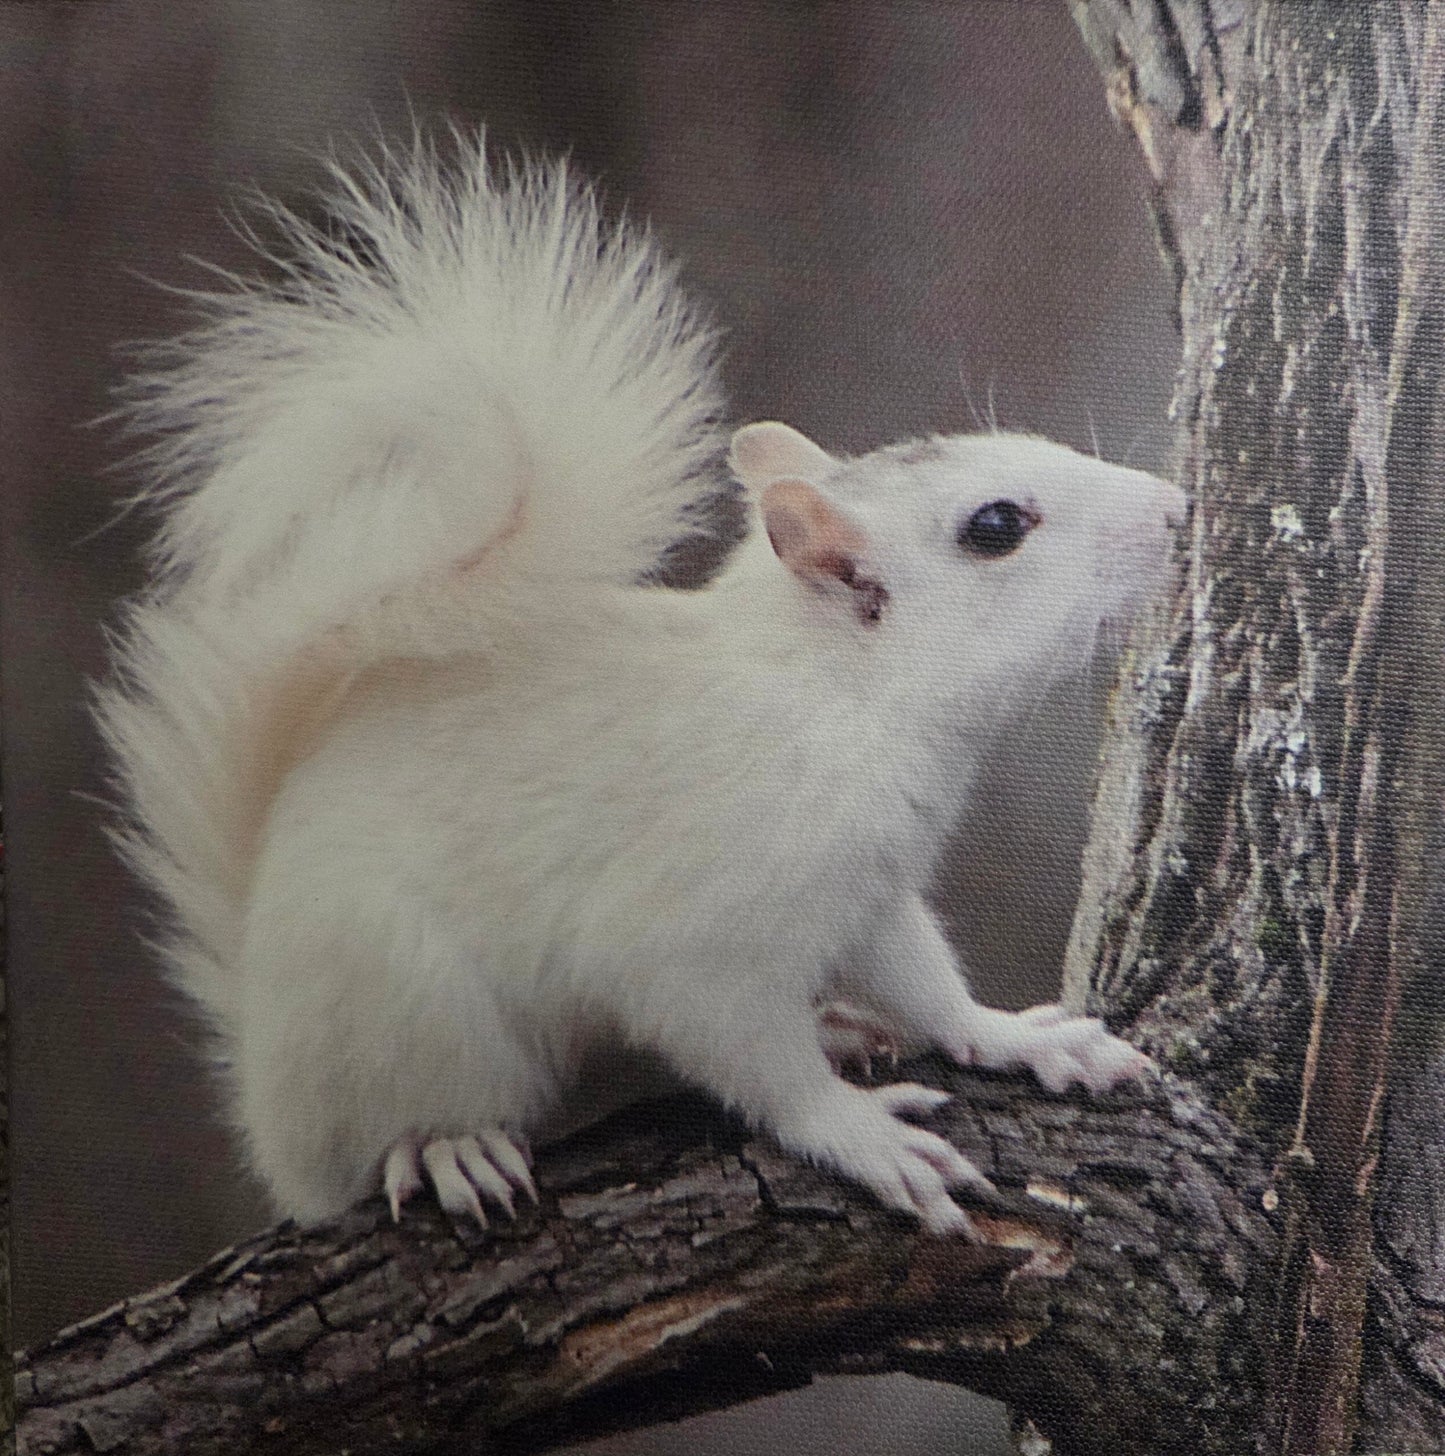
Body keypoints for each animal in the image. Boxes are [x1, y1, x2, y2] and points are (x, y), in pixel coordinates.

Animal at [98, 136, 1185, 1237]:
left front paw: (1021, 1037)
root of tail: (267, 1090)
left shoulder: (871, 893)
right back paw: (450, 1148)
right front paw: (860, 1134)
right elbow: (754, 1052)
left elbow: (926, 988)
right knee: (383, 1142)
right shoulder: (693, 928)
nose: (1176, 509)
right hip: (413, 1015)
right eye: (996, 526)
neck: (836, 704)